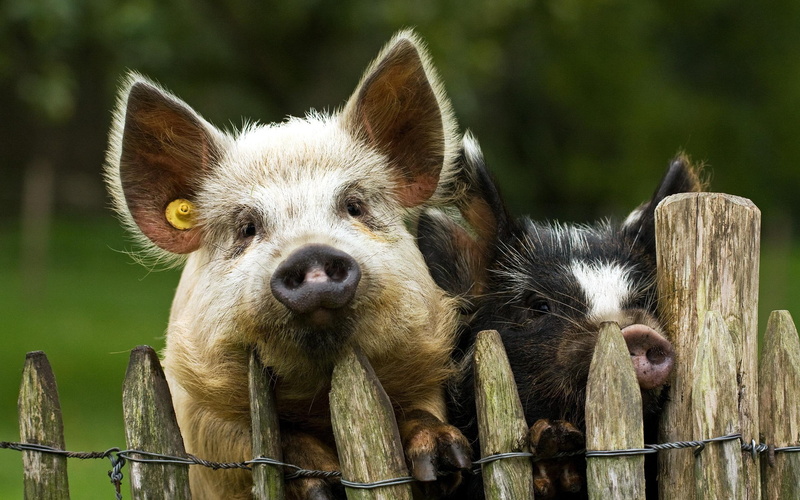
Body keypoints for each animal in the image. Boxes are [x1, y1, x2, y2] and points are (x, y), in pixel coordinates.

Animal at [104, 30, 472, 499]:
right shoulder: (199, 412)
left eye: (354, 206)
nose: (309, 253)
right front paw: (322, 484)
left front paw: (445, 463)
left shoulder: (426, 373)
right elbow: (260, 442)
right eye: (247, 227)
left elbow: (420, 412)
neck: (319, 399)